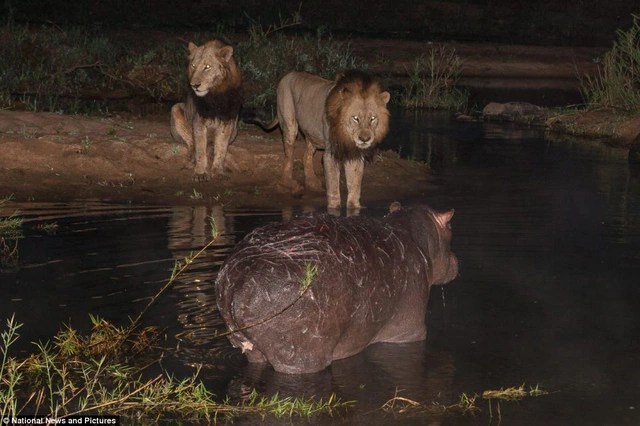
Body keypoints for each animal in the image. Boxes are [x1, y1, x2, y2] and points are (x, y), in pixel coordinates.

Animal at [170, 37, 242, 181]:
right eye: (193, 66)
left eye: (207, 67)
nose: (194, 85)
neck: (214, 94)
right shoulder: (199, 120)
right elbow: (200, 149)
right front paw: (200, 173)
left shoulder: (227, 120)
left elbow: (221, 148)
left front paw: (218, 171)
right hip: (175, 108)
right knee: (191, 143)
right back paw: (191, 159)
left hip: (235, 129)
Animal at [218, 203, 458, 372]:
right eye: (450, 227)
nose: (456, 261)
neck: (415, 238)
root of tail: (237, 279)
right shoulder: (409, 331)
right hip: (301, 357)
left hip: (252, 350)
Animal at [249, 70, 390, 211]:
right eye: (355, 118)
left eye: (373, 118)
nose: (364, 139)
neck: (346, 135)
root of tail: (288, 74)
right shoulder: (330, 154)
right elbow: (333, 186)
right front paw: (333, 209)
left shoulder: (354, 154)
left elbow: (355, 186)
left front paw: (354, 209)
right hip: (289, 124)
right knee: (289, 156)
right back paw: (288, 184)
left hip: (313, 135)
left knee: (306, 156)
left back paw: (312, 183)